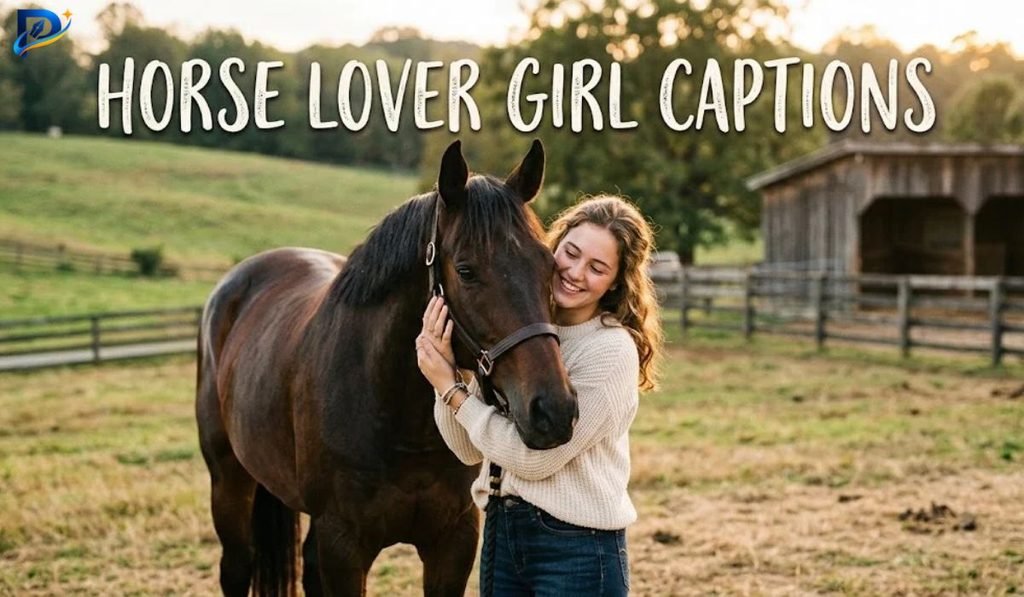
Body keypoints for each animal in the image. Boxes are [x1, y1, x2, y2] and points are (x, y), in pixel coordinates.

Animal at [195, 140, 579, 596]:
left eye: (550, 265)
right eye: (466, 271)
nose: (553, 410)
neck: (397, 414)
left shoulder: (454, 540)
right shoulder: (344, 545)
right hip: (229, 484)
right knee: (237, 565)